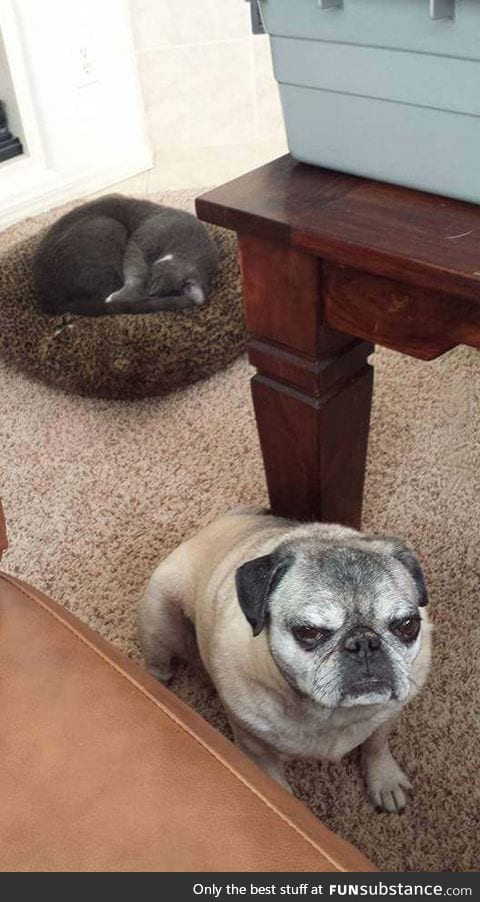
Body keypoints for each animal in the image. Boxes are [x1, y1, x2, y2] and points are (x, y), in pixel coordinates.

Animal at [33, 195, 219, 318]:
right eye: (152, 286)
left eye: (156, 294)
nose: (146, 297)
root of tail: (49, 298)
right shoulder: (142, 241)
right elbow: (136, 271)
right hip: (108, 226)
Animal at [138, 512, 432, 816]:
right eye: (309, 632)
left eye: (407, 625)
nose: (364, 644)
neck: (331, 715)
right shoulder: (256, 749)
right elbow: (276, 786)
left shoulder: (387, 713)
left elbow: (376, 743)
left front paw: (385, 779)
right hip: (159, 622)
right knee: (158, 666)